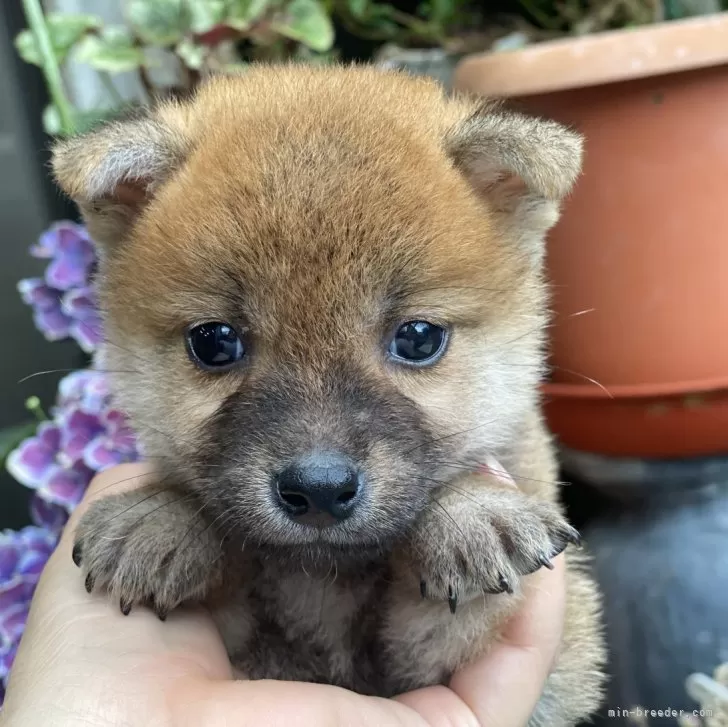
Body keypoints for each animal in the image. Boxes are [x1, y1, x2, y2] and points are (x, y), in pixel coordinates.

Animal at [52, 65, 604, 724]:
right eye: (214, 342)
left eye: (418, 338)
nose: (318, 490)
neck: (324, 579)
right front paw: (161, 517)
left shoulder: (444, 662)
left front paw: (473, 515)